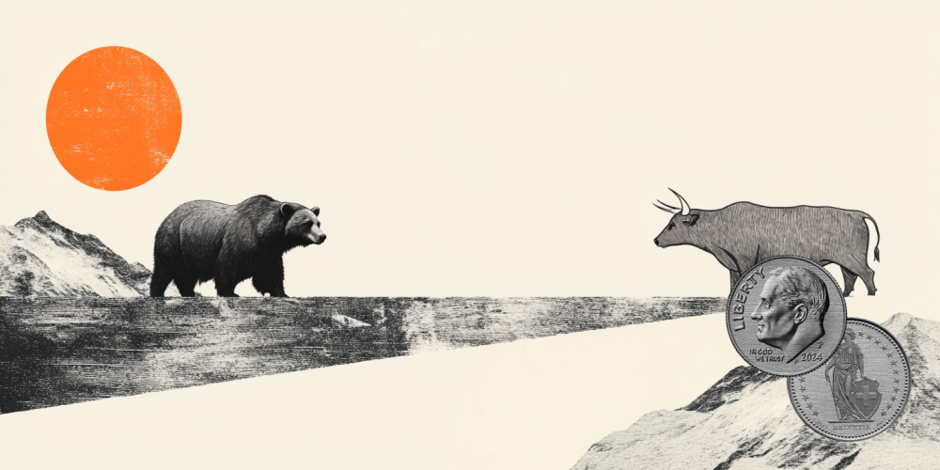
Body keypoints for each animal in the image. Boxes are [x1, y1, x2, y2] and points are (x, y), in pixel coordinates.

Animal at [653, 189, 880, 297]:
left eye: (672, 225)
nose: (655, 240)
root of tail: (856, 213)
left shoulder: (745, 259)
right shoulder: (732, 264)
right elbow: (732, 283)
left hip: (853, 257)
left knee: (867, 273)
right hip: (845, 260)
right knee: (850, 277)